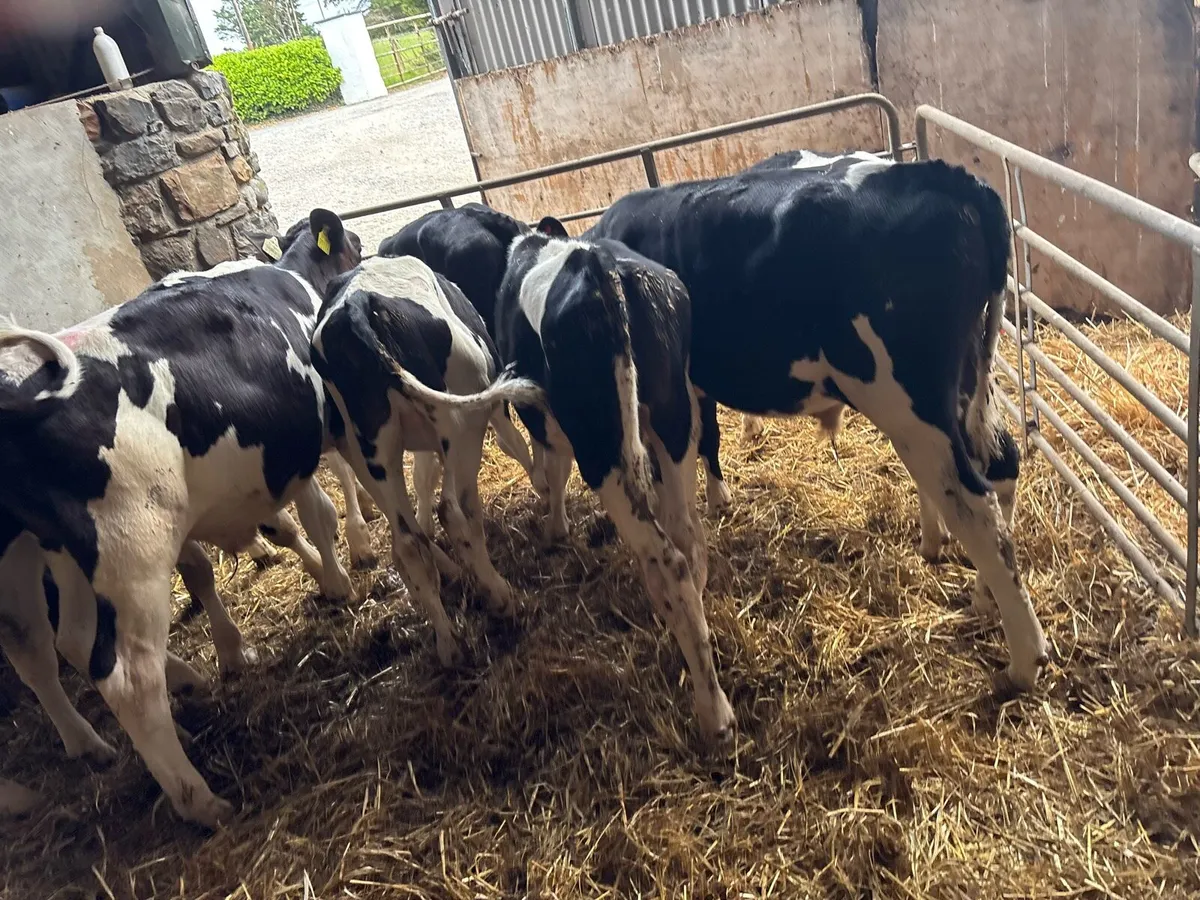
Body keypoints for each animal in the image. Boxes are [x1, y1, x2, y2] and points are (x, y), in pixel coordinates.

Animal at [0, 208, 362, 827]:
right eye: (354, 245)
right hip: (135, 549)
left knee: (57, 641)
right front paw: (346, 573)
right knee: (125, 676)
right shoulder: (319, 430)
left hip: (65, 557)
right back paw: (200, 800)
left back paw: (109, 738)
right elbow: (325, 509)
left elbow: (294, 521)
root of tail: (33, 395)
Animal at [312, 255, 544, 668]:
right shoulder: (492, 409)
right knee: (457, 511)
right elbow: (512, 444)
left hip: (370, 448)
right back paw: (502, 597)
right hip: (461, 421)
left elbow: (423, 481)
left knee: (407, 540)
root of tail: (357, 306)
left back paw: (448, 643)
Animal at [484, 220, 734, 742]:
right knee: (686, 536)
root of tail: (600, 269)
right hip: (673, 417)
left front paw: (555, 528)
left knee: (669, 558)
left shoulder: (545, 420)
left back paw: (713, 712)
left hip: (600, 447)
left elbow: (551, 471)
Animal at [586, 158, 1049, 694]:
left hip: (912, 406)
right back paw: (980, 595)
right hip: (969, 383)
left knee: (978, 511)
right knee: (1003, 466)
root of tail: (948, 179)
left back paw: (1023, 662)